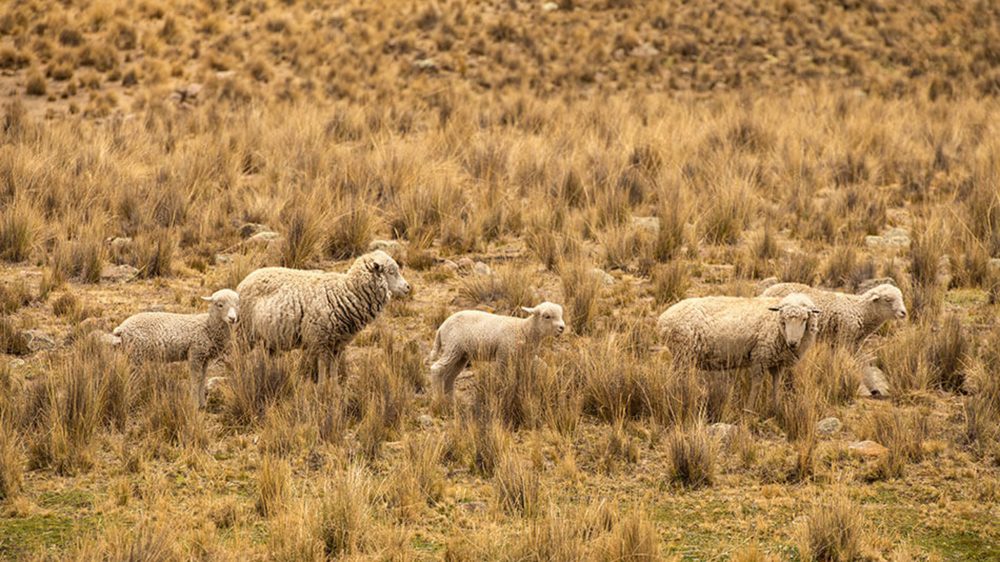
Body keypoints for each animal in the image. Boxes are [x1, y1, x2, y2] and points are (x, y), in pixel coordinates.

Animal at [110, 289, 239, 408]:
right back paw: (132, 400)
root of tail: (122, 328)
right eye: (220, 305)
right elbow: (195, 379)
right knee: (131, 377)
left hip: (131, 355)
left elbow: (202, 379)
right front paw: (194, 404)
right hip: (136, 355)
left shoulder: (204, 357)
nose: (232, 318)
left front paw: (202, 403)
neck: (207, 326)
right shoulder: (195, 353)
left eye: (237, 304)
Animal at [236, 250, 410, 382]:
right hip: (244, 332)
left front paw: (334, 390)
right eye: (391, 272)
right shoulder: (320, 341)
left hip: (269, 338)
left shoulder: (337, 345)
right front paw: (322, 390)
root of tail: (244, 281)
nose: (408, 287)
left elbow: (333, 370)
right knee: (239, 356)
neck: (345, 292)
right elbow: (321, 370)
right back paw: (241, 375)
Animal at [429, 302, 566, 397]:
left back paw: (450, 400)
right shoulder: (503, 355)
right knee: (436, 369)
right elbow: (502, 377)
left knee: (450, 377)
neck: (524, 330)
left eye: (560, 315)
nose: (562, 327)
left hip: (461, 355)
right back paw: (438, 398)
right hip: (452, 347)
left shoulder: (525, 358)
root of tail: (441, 327)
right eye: (547, 316)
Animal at [656, 293, 821, 404]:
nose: (792, 343)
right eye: (784, 320)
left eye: (804, 319)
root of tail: (663, 319)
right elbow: (756, 385)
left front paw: (776, 407)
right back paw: (675, 397)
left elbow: (776, 385)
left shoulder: (777, 363)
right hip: (682, 353)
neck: (775, 324)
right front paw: (749, 409)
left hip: (682, 356)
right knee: (673, 378)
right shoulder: (760, 357)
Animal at [760, 282, 906, 347]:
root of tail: (765, 291)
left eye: (901, 297)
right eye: (888, 300)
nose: (904, 313)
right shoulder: (845, 338)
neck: (861, 310)